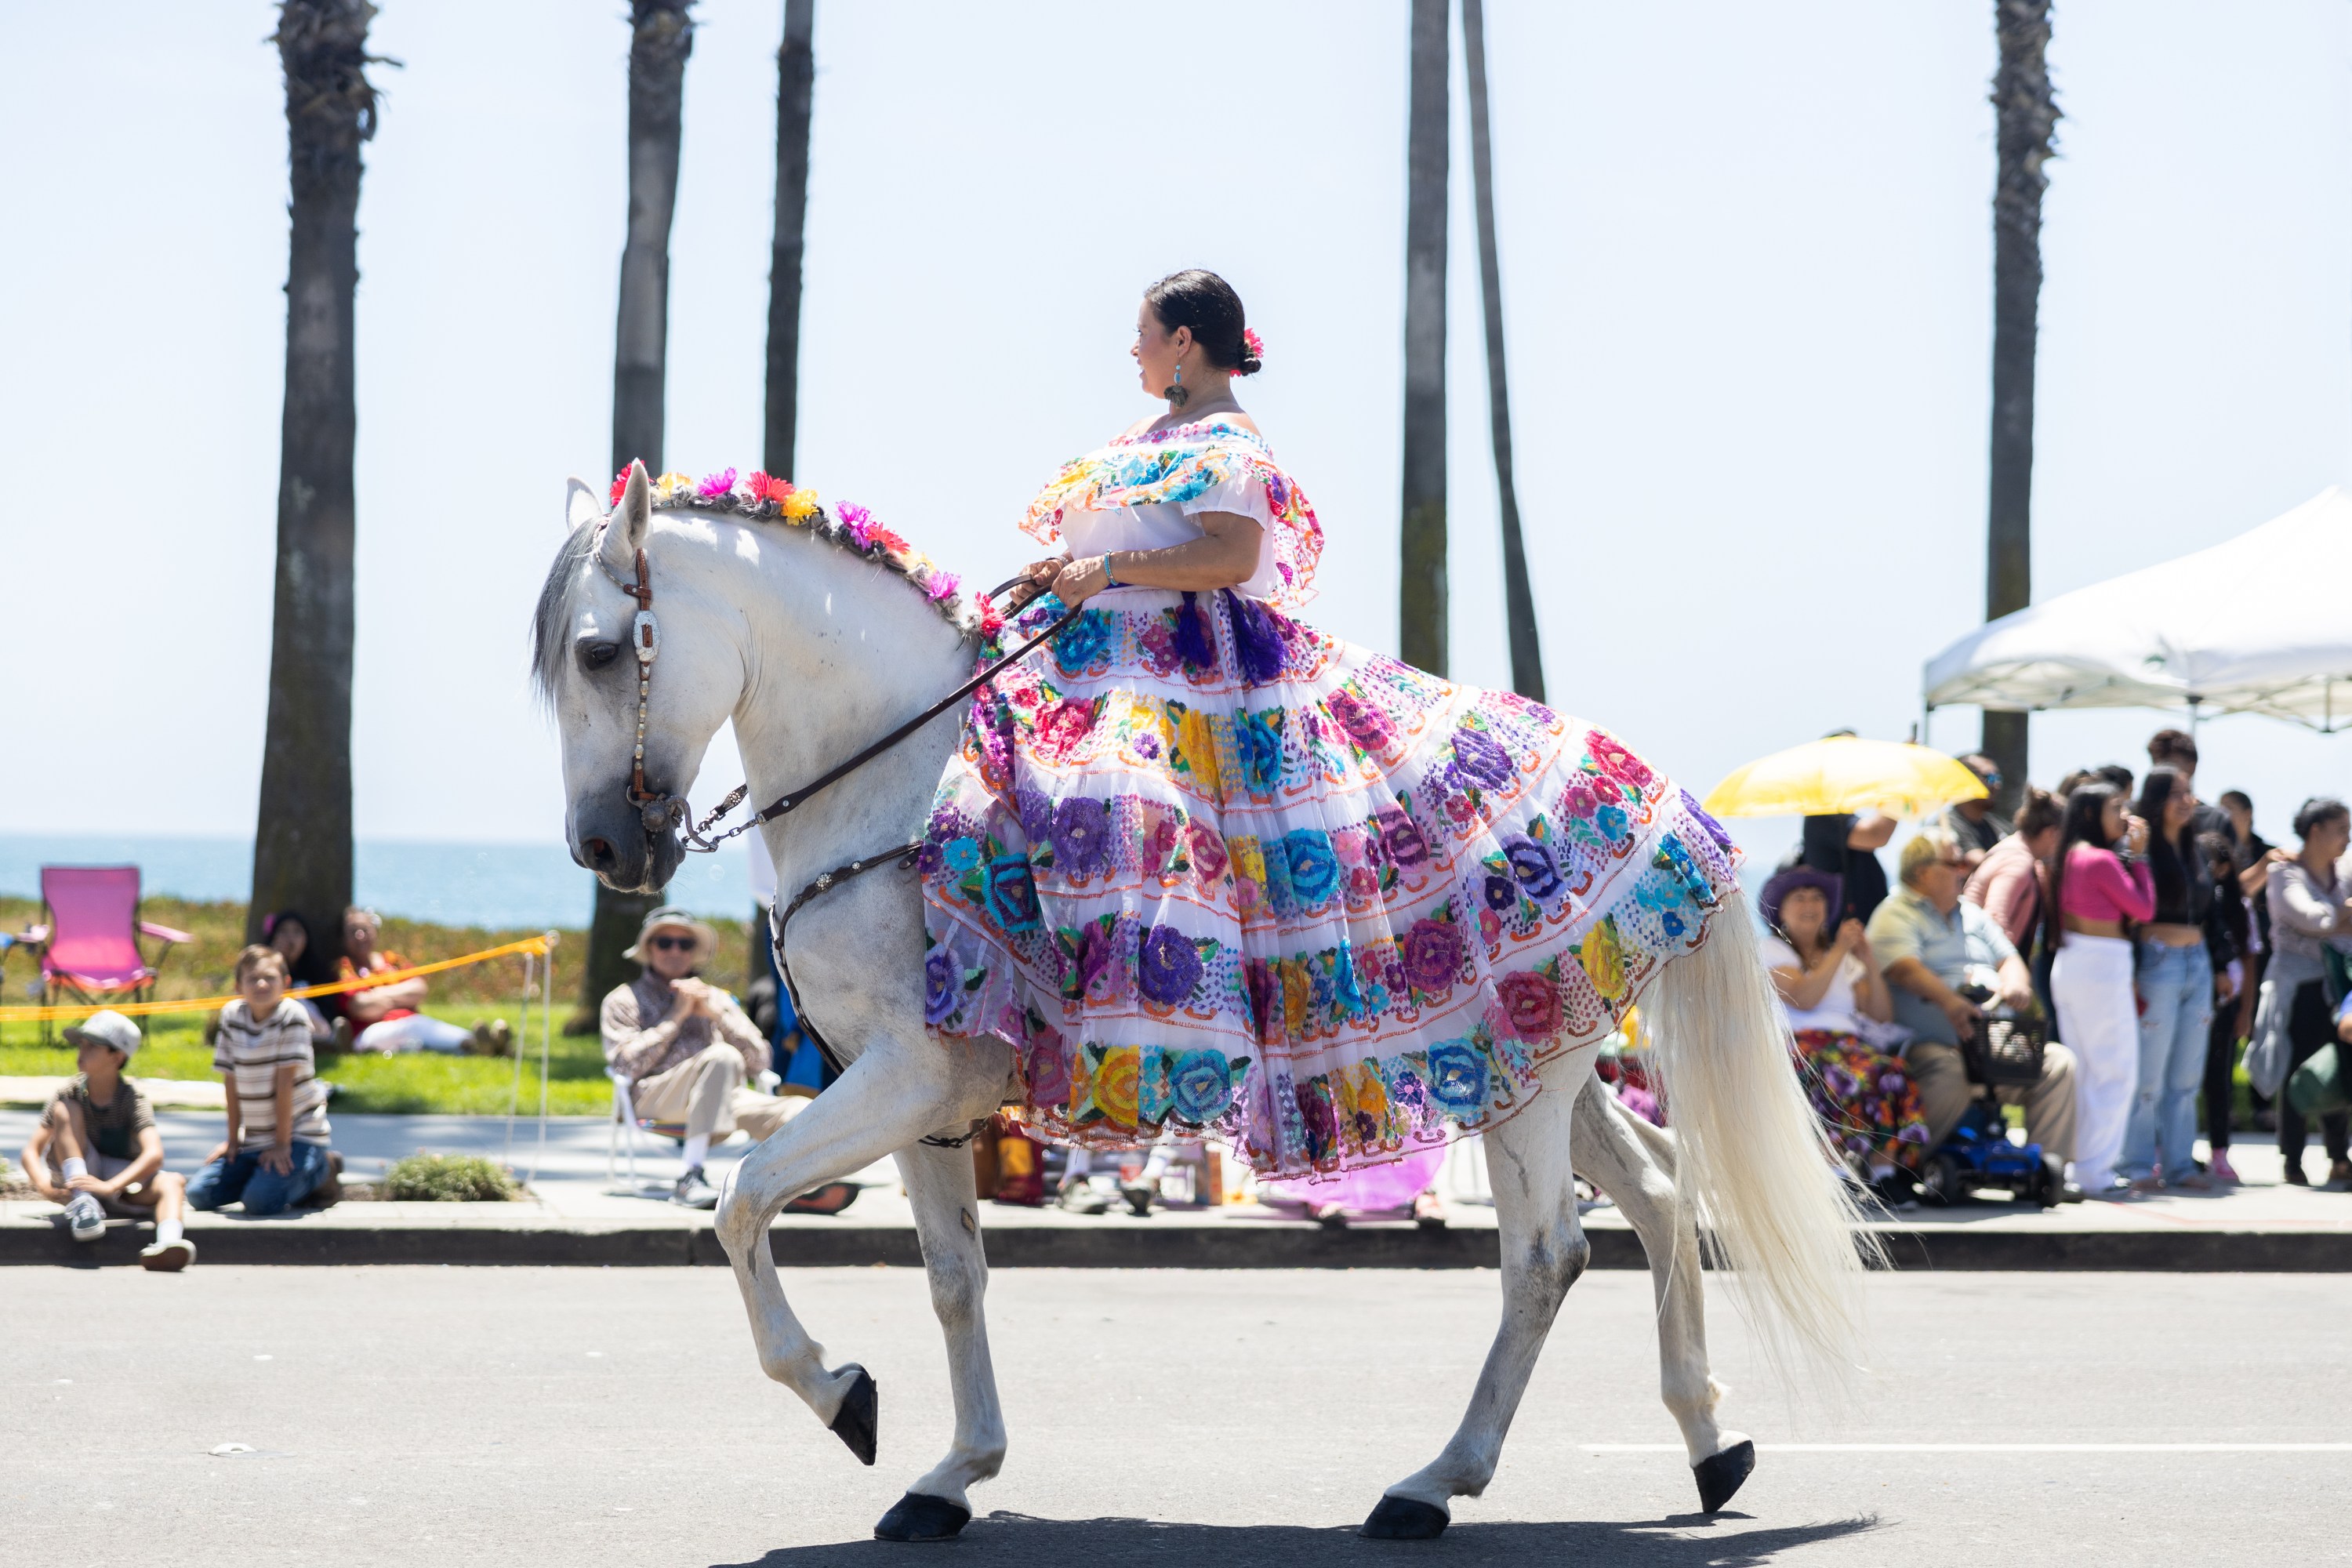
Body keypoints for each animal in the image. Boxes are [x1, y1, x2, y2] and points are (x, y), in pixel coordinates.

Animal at [539, 465, 1872, 1542]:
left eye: (599, 652)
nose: (601, 849)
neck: (902, 777)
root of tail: (1662, 799)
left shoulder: (907, 1074)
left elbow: (742, 1202)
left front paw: (839, 1393)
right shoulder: (917, 1095)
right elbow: (952, 1278)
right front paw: (951, 1473)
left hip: (1521, 1075)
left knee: (1547, 1255)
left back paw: (1435, 1483)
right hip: (1534, 1055)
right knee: (1659, 1192)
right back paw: (1708, 1443)